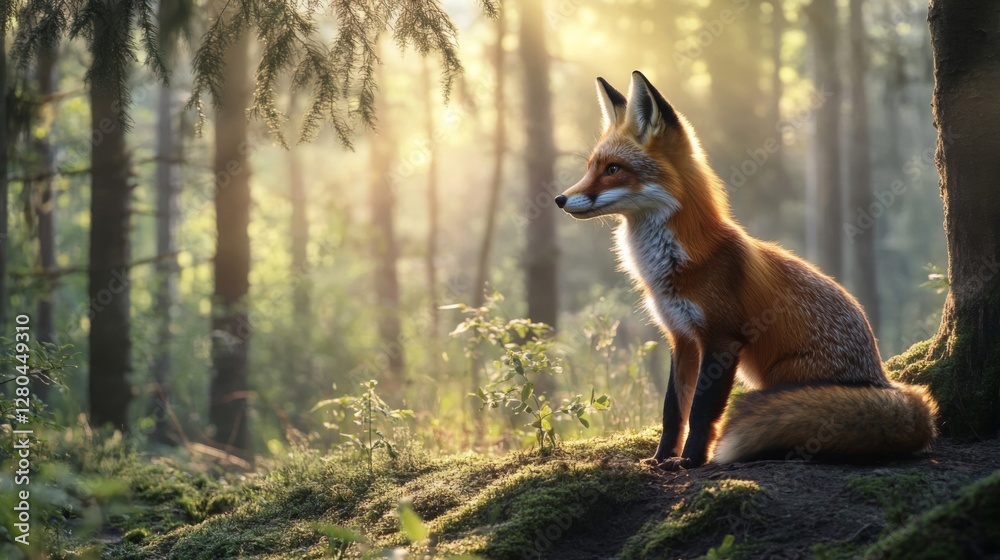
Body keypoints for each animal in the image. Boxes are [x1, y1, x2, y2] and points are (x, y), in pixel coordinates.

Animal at [555, 71, 938, 470]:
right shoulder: (681, 337)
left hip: (782, 376)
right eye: (590, 167)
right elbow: (673, 410)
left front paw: (691, 461)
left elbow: (702, 412)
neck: (677, 262)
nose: (559, 199)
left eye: (613, 169)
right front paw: (661, 458)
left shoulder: (723, 338)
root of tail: (882, 378)